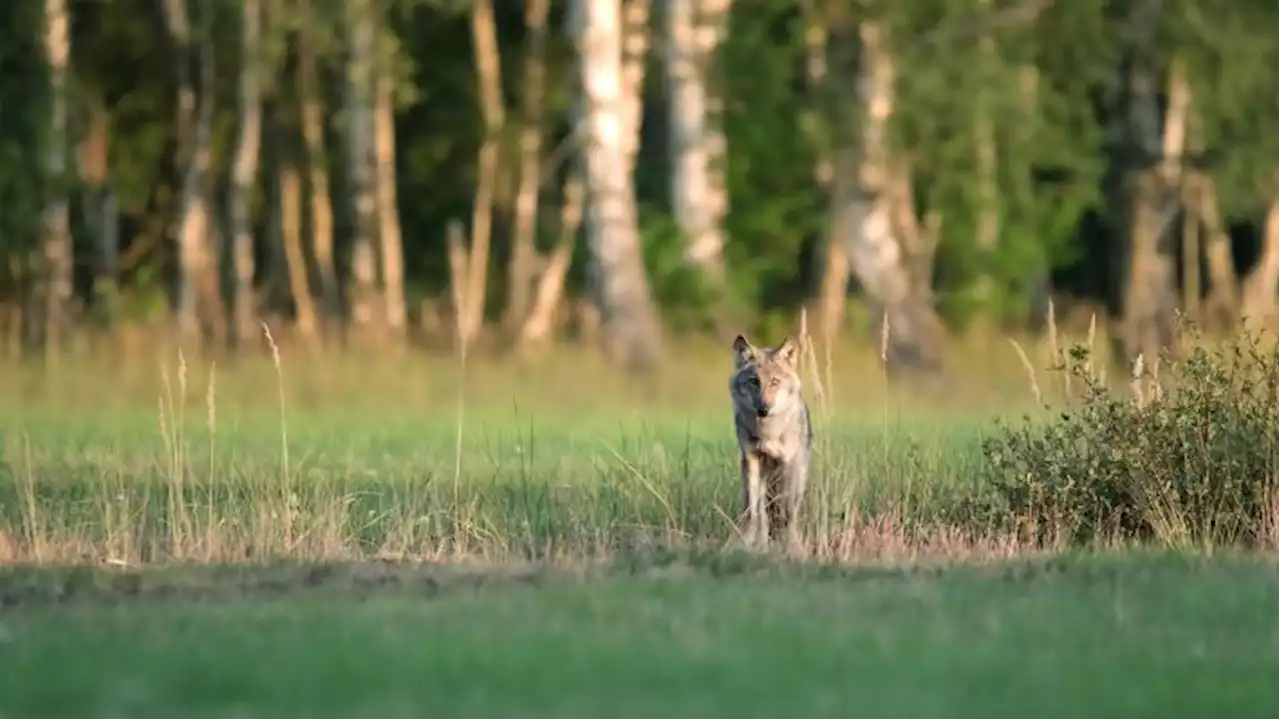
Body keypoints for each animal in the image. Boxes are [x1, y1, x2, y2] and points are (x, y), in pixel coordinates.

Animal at [732, 332, 808, 547]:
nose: (763, 410)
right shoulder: (751, 459)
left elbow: (785, 513)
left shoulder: (788, 463)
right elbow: (752, 511)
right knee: (760, 510)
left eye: (775, 382)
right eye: (754, 381)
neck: (768, 432)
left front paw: (790, 545)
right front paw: (747, 541)